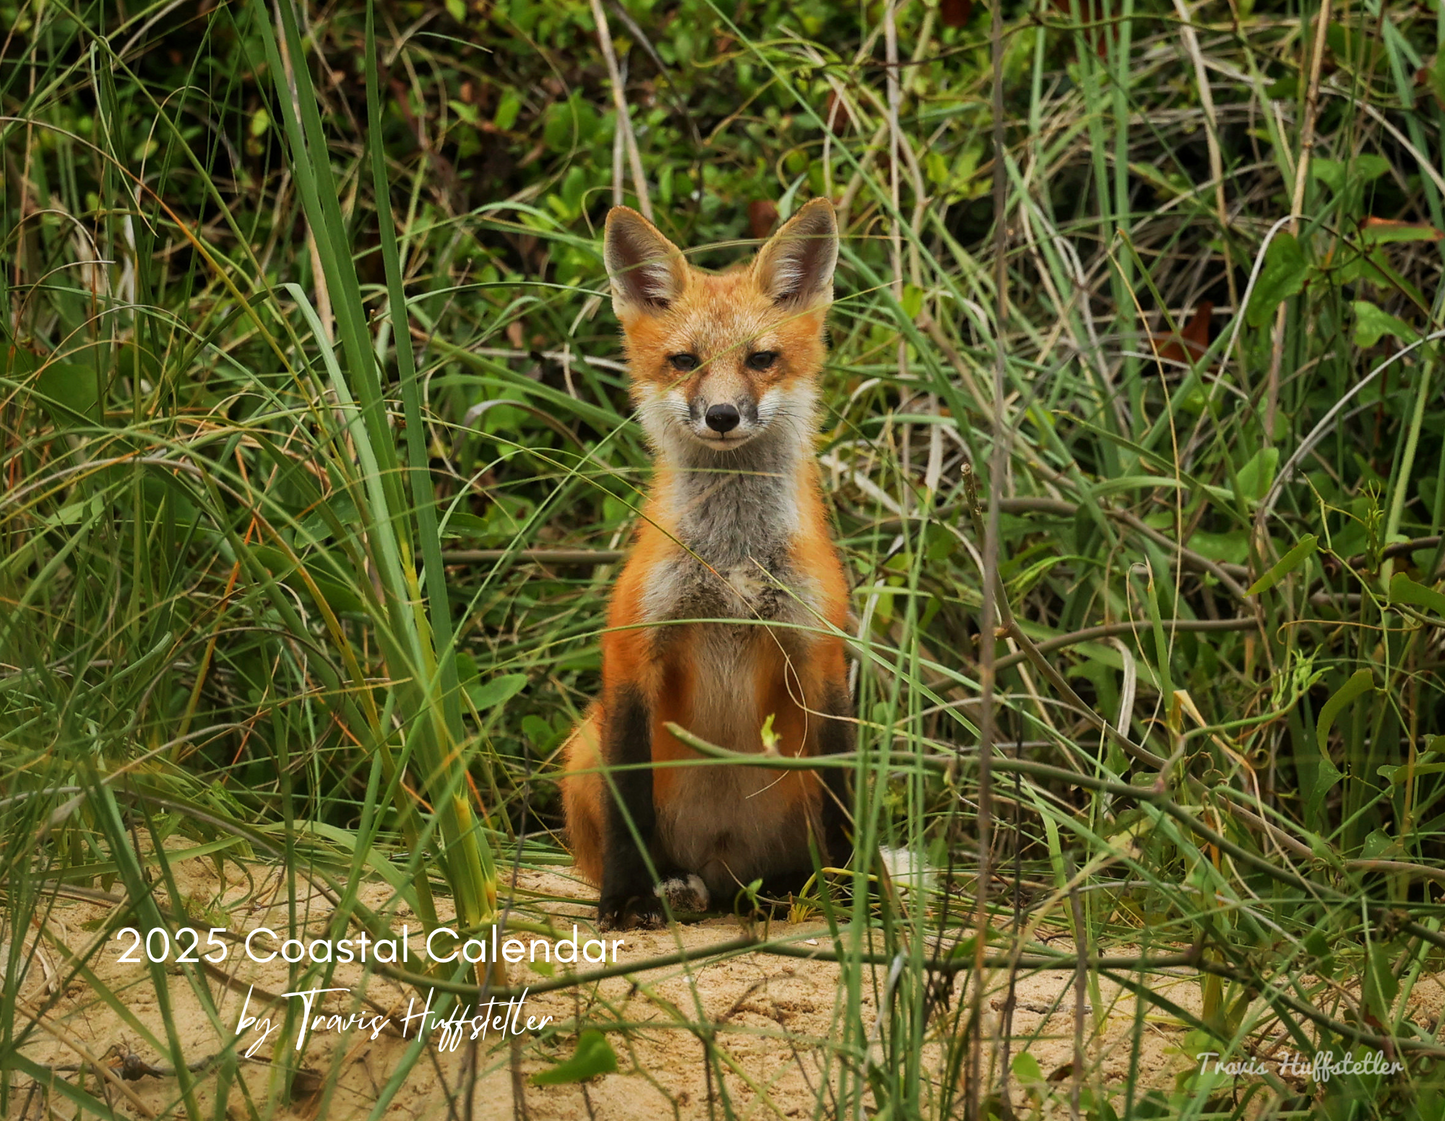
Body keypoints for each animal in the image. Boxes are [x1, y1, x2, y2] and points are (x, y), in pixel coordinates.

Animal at [557, 199, 849, 930]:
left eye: (762, 359)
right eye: (684, 361)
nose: (721, 415)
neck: (731, 558)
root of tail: (725, 875)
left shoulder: (820, 653)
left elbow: (841, 794)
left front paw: (857, 889)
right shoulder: (633, 648)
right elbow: (629, 801)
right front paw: (625, 899)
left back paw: (792, 889)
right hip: (583, 744)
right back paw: (669, 886)